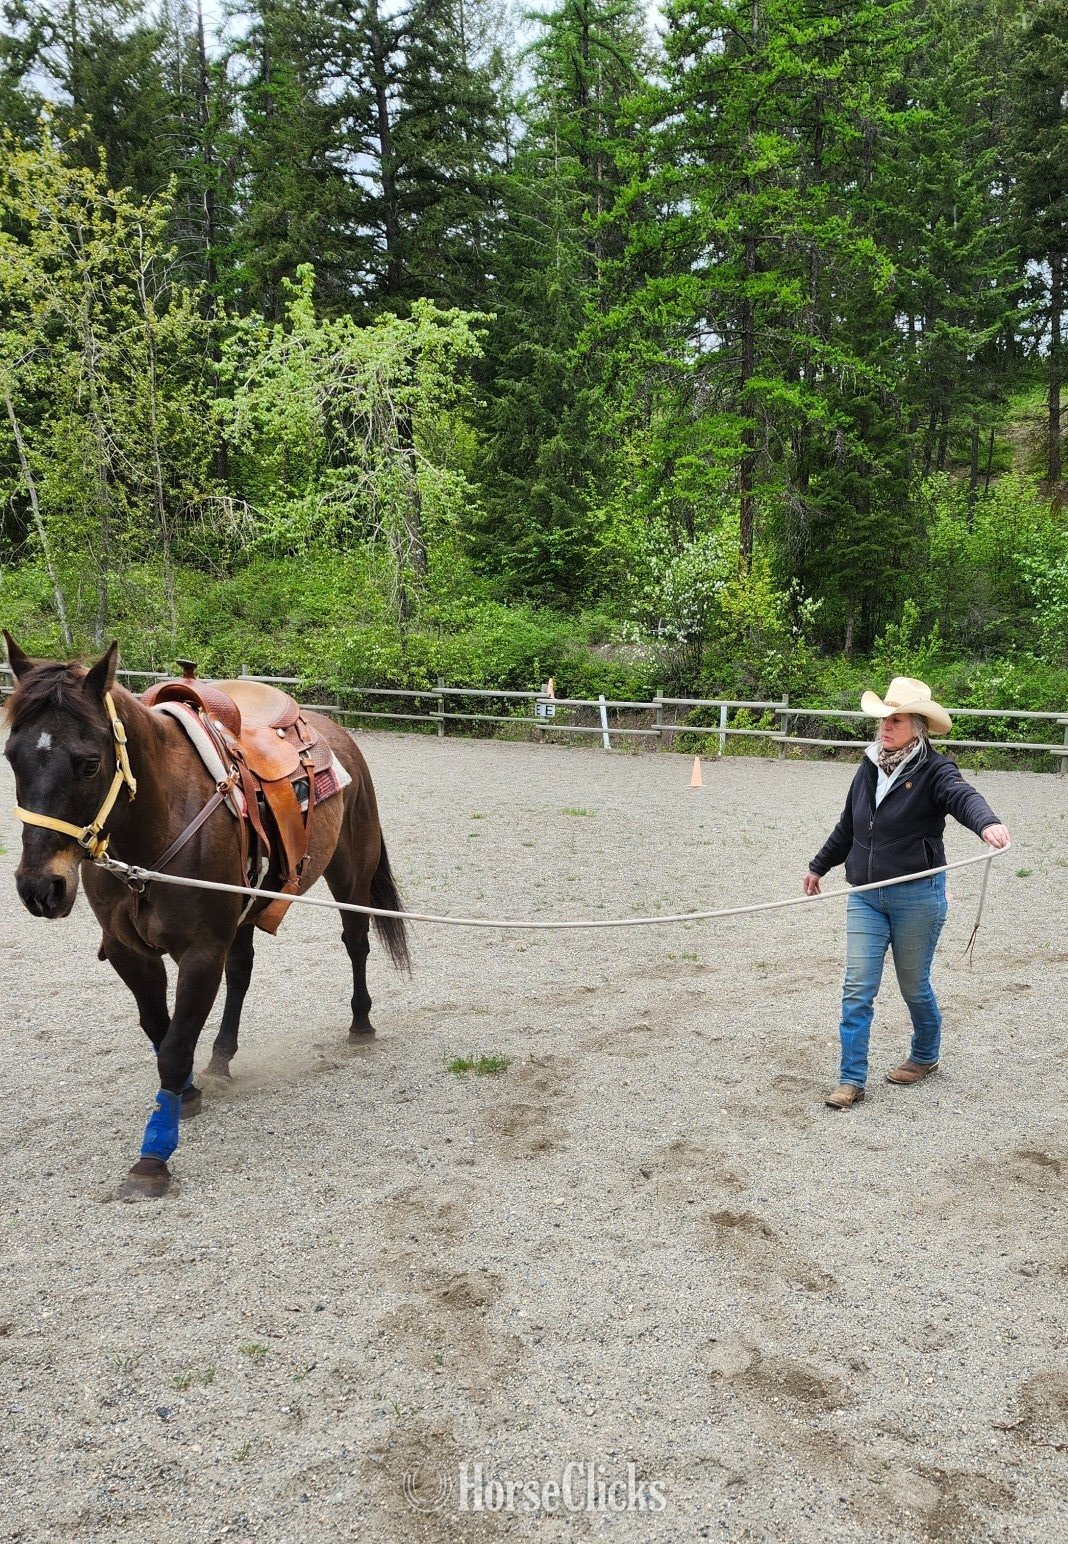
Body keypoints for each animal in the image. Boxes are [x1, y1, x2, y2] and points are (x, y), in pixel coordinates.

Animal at [2, 634, 409, 1198]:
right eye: (11, 757)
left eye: (88, 763)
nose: (41, 888)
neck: (152, 828)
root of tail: (336, 733)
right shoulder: (130, 952)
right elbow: (160, 1028)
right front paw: (189, 1091)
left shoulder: (199, 953)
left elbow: (173, 1047)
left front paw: (153, 1156)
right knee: (241, 972)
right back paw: (221, 1055)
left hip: (350, 876)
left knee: (356, 944)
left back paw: (361, 1023)